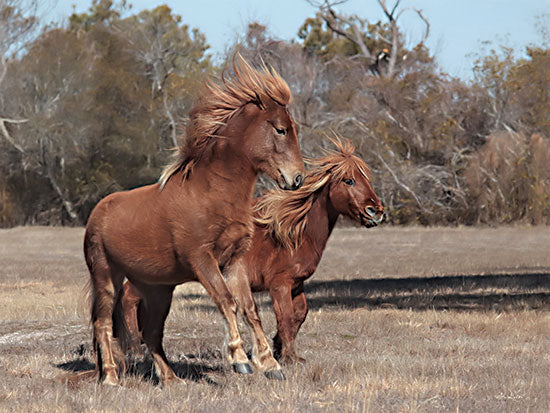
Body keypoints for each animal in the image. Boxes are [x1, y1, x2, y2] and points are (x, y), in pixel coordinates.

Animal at [85, 53, 306, 384]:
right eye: (280, 129)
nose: (297, 178)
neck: (211, 192)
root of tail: (96, 214)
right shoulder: (202, 260)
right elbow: (227, 302)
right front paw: (240, 359)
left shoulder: (234, 261)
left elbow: (249, 308)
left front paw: (269, 364)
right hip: (106, 278)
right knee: (103, 324)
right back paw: (110, 377)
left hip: (157, 290)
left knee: (151, 333)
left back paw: (170, 379)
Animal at [119, 138, 384, 364]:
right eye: (348, 180)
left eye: (366, 179)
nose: (376, 211)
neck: (291, 232)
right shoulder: (279, 285)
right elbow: (286, 317)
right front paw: (288, 357)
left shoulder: (296, 283)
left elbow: (300, 314)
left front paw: (280, 348)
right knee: (128, 298)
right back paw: (134, 346)